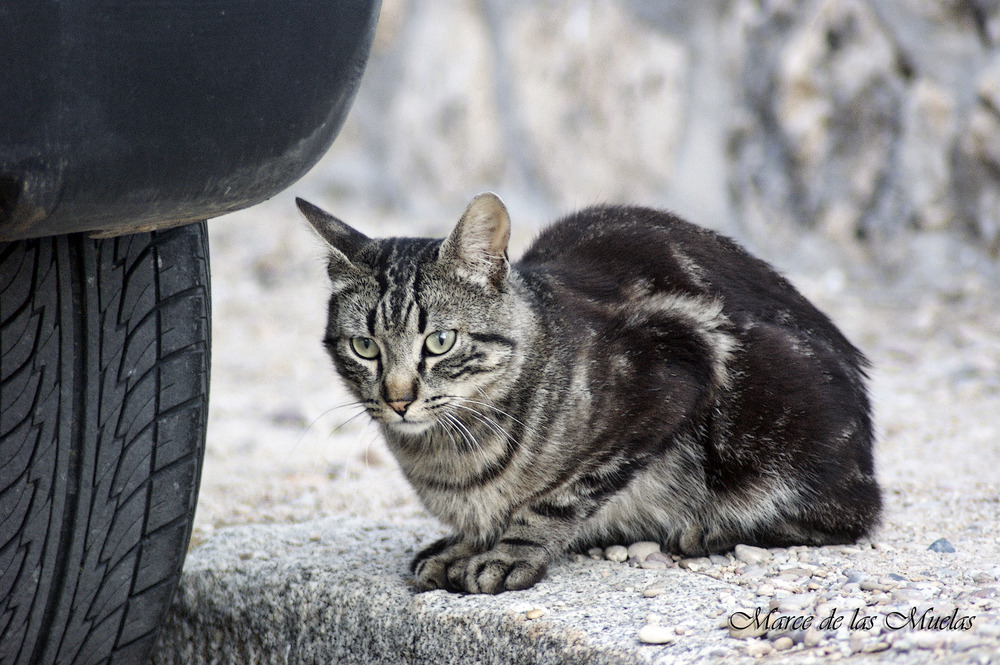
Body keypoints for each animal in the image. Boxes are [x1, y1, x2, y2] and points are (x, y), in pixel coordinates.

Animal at [298, 192, 884, 592]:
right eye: (365, 347)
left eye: (440, 342)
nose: (398, 399)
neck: (447, 458)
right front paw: (463, 545)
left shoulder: (668, 382)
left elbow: (561, 496)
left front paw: (509, 552)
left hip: (775, 421)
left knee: (848, 515)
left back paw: (709, 531)